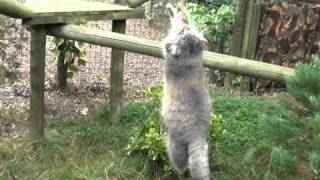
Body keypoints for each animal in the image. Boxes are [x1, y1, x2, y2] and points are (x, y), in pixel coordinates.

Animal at [161, 3, 211, 180]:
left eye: (186, 40)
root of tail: (198, 136)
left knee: (180, 163)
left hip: (175, 144)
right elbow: (180, 18)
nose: (182, 37)